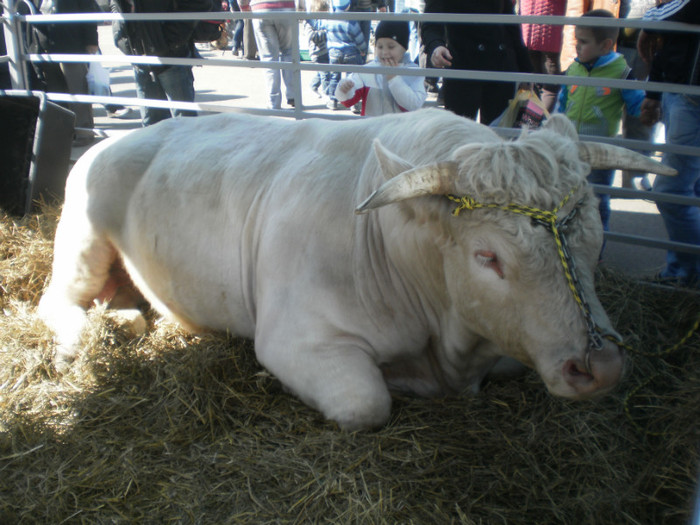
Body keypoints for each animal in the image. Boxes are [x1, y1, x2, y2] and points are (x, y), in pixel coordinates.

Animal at [37, 109, 672, 430]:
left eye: (594, 239)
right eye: (487, 256)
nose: (601, 366)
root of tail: (111, 141)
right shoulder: (295, 341)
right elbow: (367, 404)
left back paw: (124, 317)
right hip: (81, 239)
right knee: (56, 302)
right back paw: (86, 337)